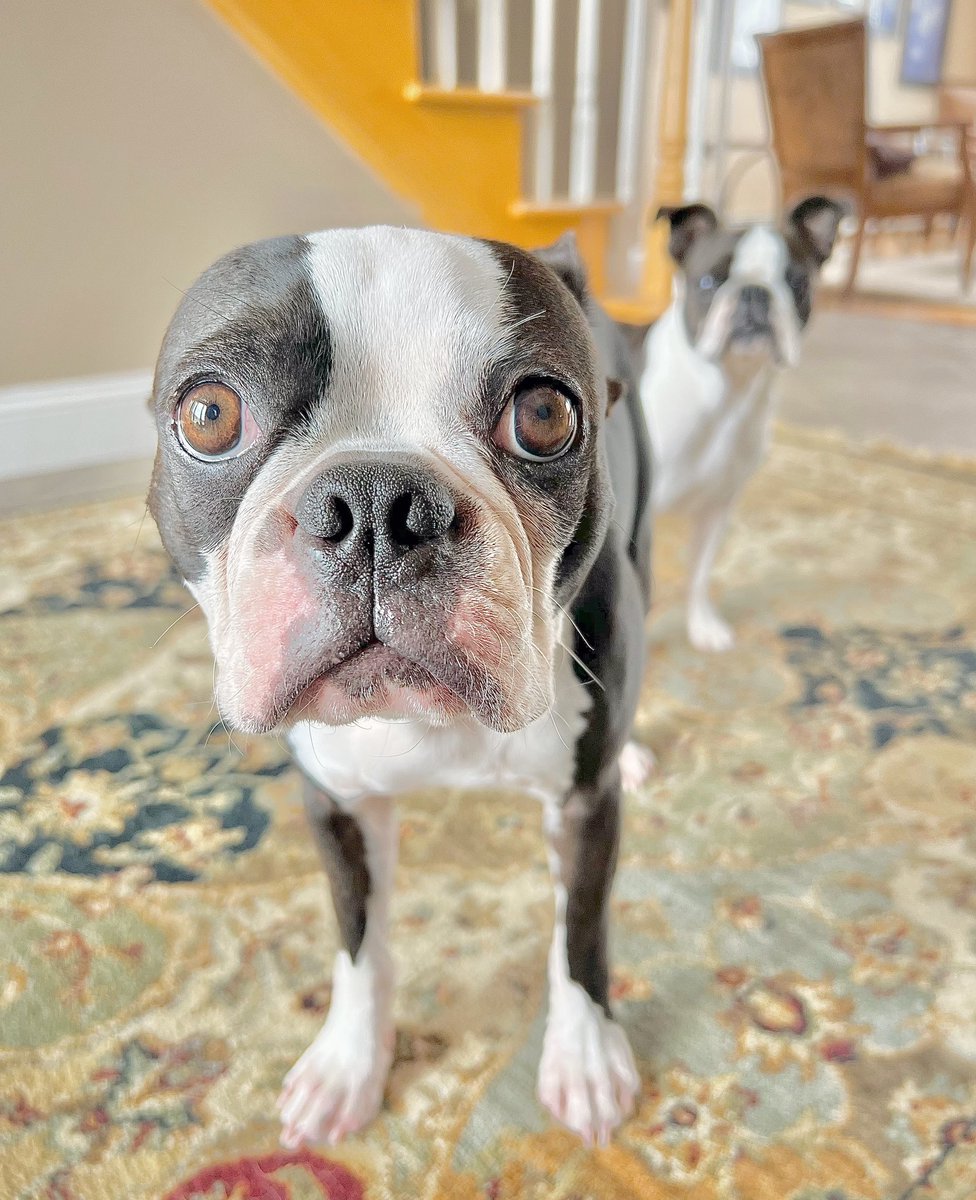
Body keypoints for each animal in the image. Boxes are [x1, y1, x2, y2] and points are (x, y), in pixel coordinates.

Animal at [148, 225, 653, 1142]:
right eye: (210, 415)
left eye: (545, 416)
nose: (378, 501)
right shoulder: (337, 806)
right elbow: (359, 943)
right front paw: (350, 1065)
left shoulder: (582, 806)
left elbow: (580, 931)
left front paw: (588, 1056)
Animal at [638, 195, 845, 652]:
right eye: (707, 283)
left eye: (796, 283)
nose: (754, 292)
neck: (725, 393)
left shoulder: (717, 507)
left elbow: (698, 573)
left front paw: (701, 625)